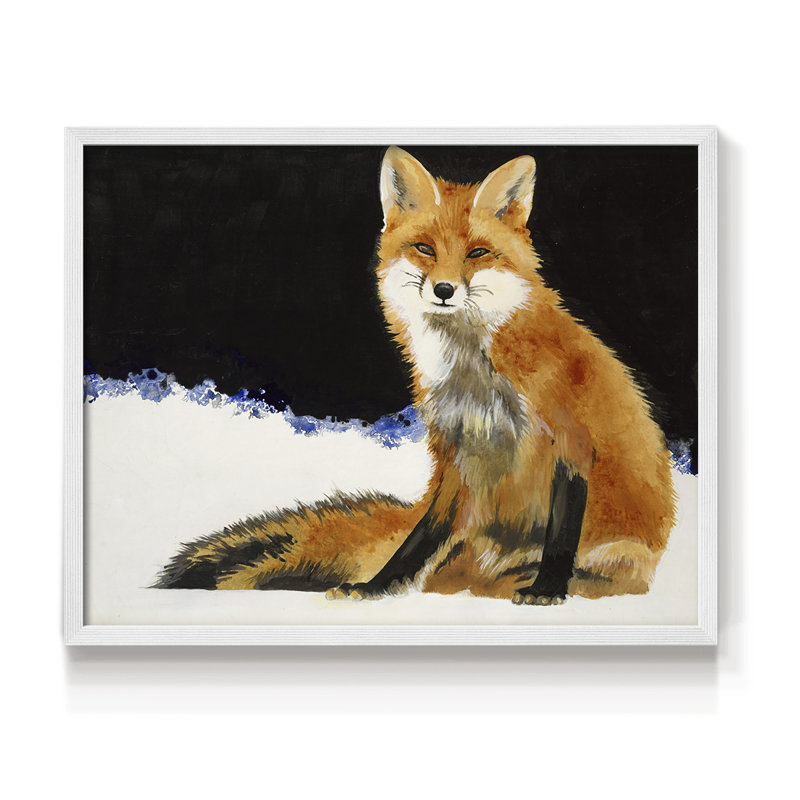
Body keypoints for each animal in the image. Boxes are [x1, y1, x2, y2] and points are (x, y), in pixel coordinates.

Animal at [155, 147, 677, 605]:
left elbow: (561, 534)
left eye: (477, 253)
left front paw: (548, 588)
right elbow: (420, 539)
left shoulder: (571, 439)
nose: (444, 290)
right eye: (425, 248)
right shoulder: (455, 453)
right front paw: (376, 587)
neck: (476, 375)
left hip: (620, 556)